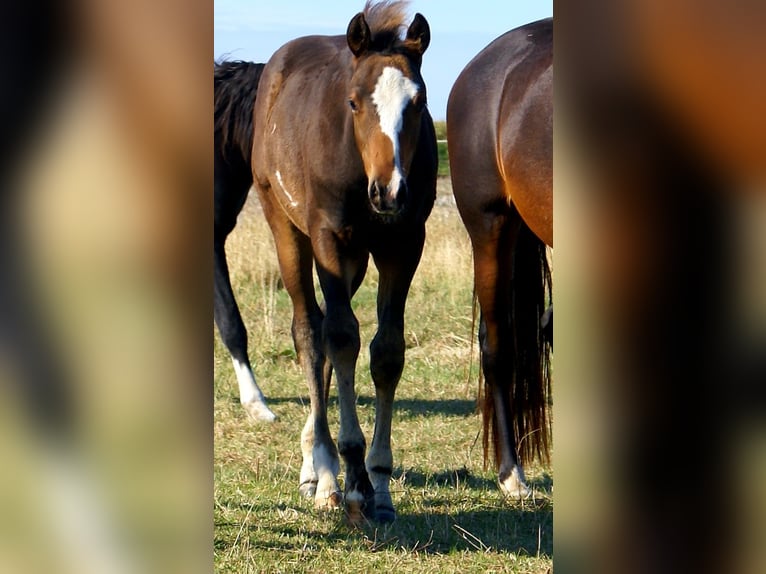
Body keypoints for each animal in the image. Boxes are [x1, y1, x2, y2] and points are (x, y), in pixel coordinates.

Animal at [251, 1, 436, 522]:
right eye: (353, 102)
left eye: (419, 102)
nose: (389, 191)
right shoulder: (329, 240)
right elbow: (340, 338)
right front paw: (353, 483)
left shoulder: (403, 244)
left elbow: (385, 351)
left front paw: (380, 483)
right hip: (289, 230)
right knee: (311, 333)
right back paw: (326, 473)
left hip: (354, 261)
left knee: (327, 335)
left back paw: (316, 466)